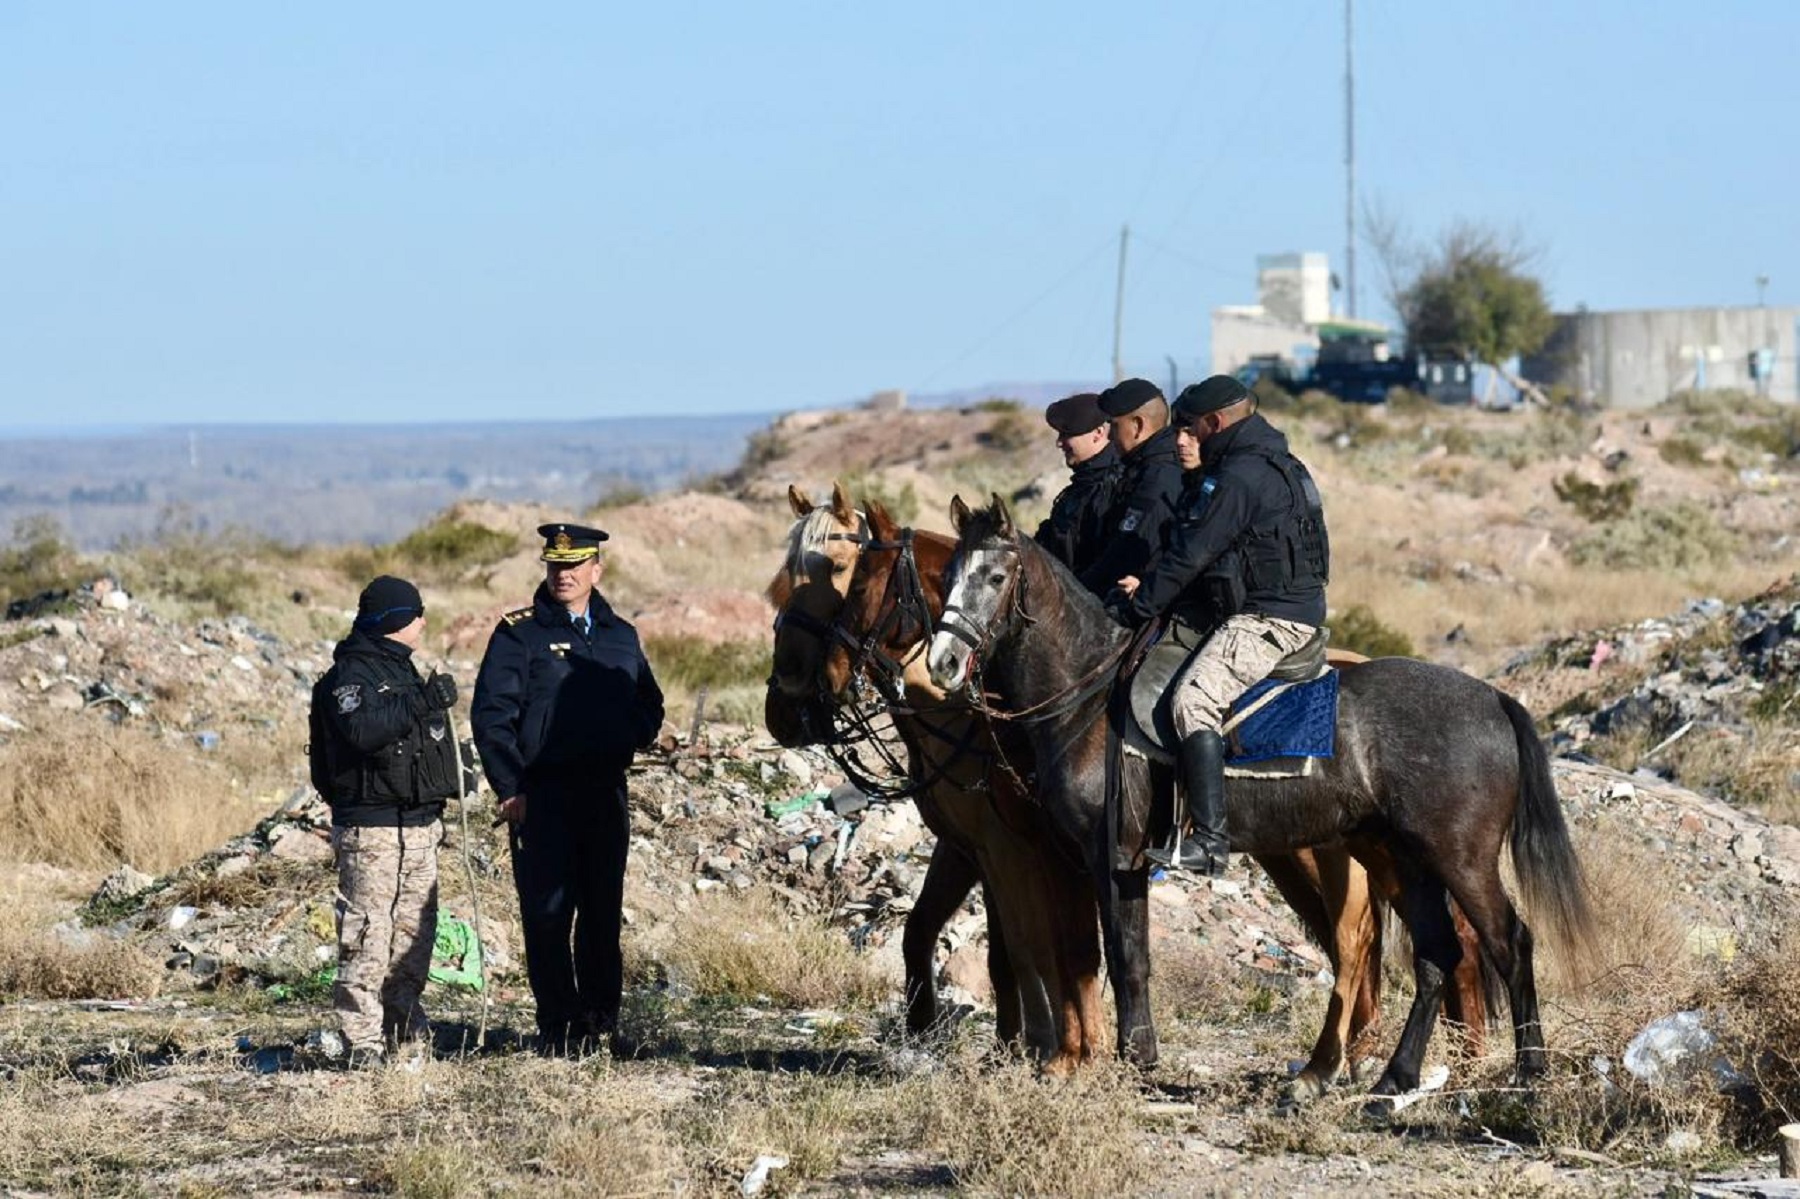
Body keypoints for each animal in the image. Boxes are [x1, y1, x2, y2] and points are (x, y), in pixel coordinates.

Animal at [766, 486, 1483, 1094]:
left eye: (852, 580)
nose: (793, 705)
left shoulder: (1062, 850)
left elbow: (1070, 948)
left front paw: (1079, 1051)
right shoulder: (992, 849)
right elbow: (1012, 945)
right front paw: (1033, 1048)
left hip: (1334, 855)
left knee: (1365, 940)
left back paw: (1413, 1059)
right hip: (1349, 850)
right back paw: (1380, 1055)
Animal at [921, 493, 1598, 1094]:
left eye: (996, 575)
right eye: (949, 574)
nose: (943, 663)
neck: (1086, 693)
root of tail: (1494, 698)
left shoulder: (1113, 855)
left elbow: (1124, 954)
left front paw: (1133, 1058)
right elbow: (1085, 952)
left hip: (1459, 858)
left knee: (1509, 942)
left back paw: (1527, 1072)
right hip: (1403, 857)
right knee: (1437, 954)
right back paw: (1394, 1077)